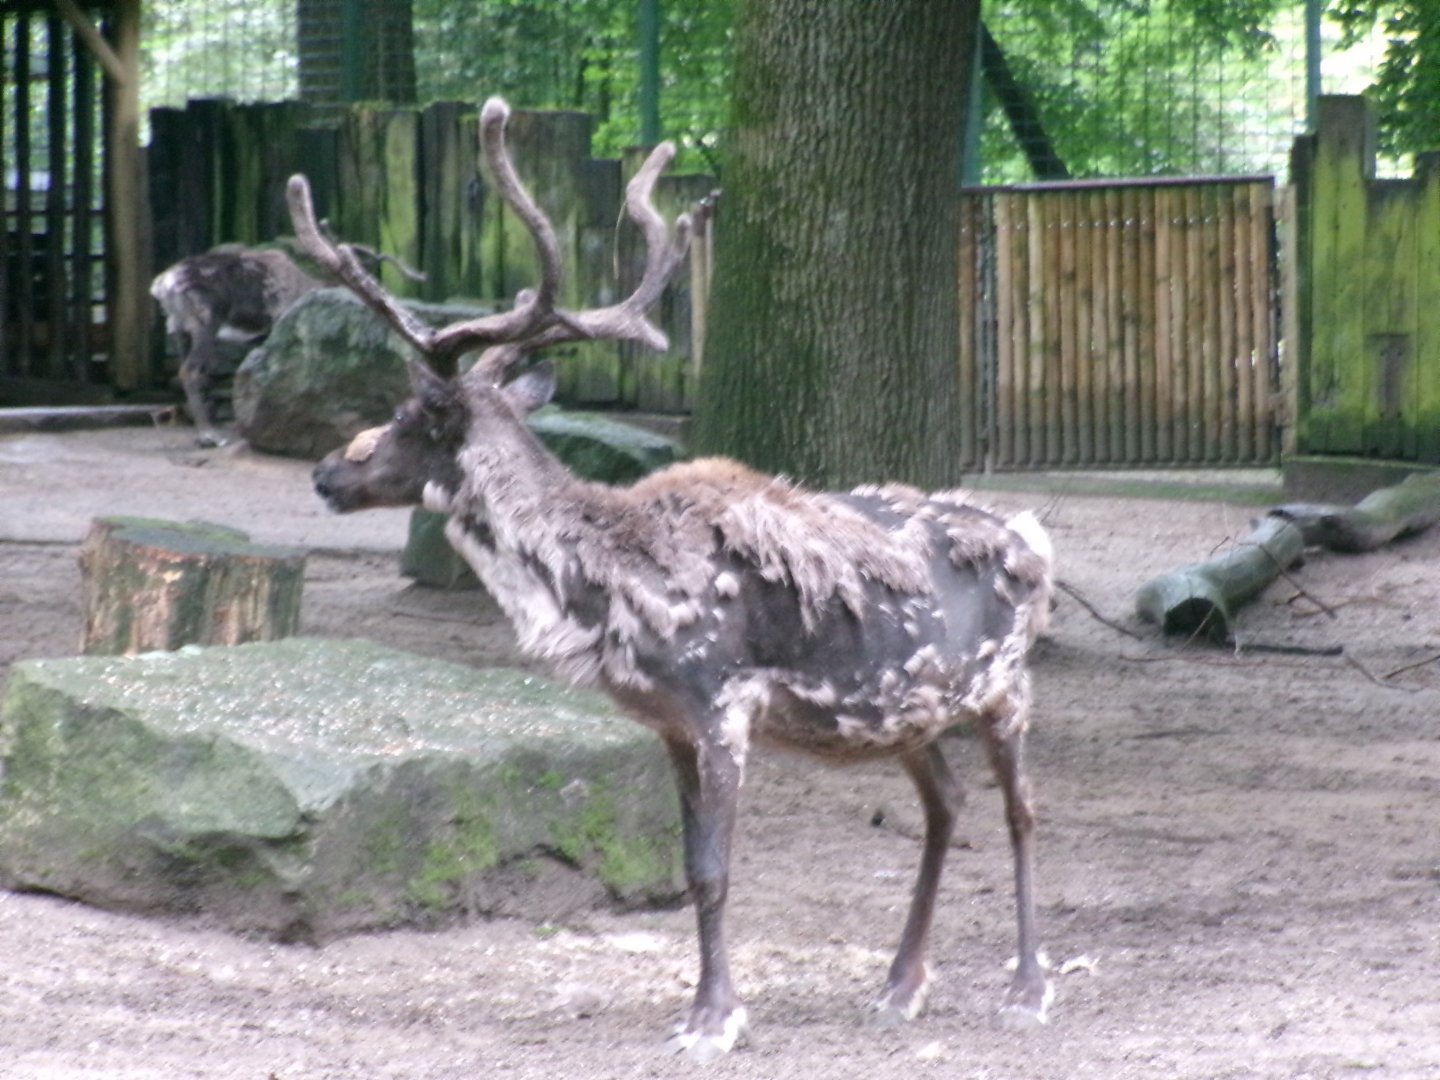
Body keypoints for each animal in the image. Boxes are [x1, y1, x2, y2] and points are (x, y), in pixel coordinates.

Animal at [300, 97, 1054, 1061]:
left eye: (408, 415)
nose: (327, 472)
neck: (601, 591)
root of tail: (1033, 538)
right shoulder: (665, 721)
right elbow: (692, 869)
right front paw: (708, 1005)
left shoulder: (722, 702)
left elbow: (715, 868)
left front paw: (714, 1018)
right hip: (908, 712)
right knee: (948, 804)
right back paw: (898, 985)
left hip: (1006, 687)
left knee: (1021, 812)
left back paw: (1028, 987)